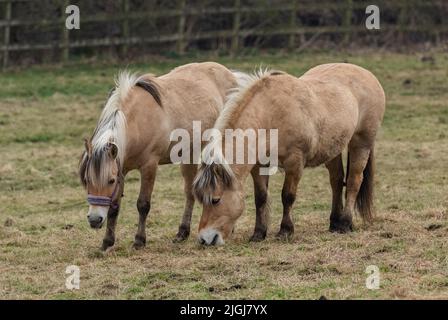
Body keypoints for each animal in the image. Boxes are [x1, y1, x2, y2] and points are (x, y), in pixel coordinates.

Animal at [79, 62, 238, 251]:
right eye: (87, 180)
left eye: (110, 181)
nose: (94, 220)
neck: (136, 122)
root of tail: (229, 73)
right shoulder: (121, 169)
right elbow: (114, 207)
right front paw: (107, 241)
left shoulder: (149, 166)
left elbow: (143, 204)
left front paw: (139, 240)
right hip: (189, 155)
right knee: (189, 193)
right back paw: (182, 232)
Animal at [192, 63, 384, 246]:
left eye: (216, 200)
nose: (205, 239)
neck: (270, 113)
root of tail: (367, 74)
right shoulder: (259, 165)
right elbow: (260, 197)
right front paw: (258, 233)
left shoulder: (295, 162)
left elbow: (287, 196)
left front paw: (285, 231)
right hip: (333, 148)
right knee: (336, 181)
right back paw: (334, 223)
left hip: (361, 142)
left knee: (353, 181)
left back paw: (345, 223)